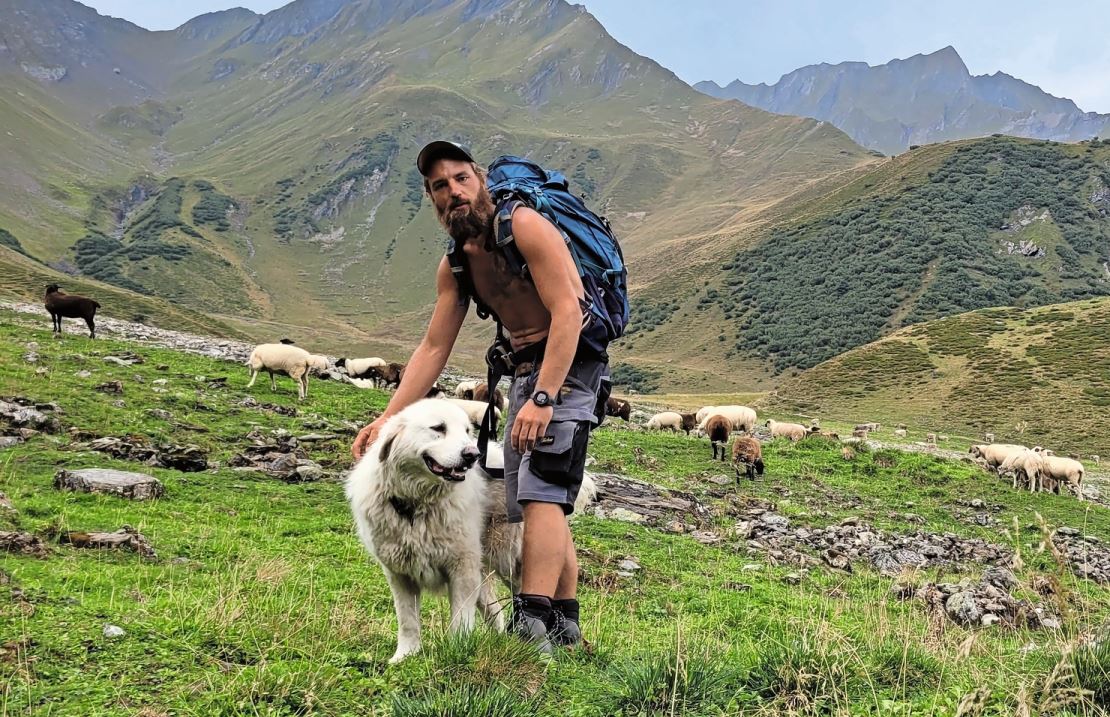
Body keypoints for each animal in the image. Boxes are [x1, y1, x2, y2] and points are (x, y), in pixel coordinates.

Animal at [346, 399, 599, 661]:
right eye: (438, 428)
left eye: (467, 431)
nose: (472, 455)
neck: (418, 505)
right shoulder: (400, 574)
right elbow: (407, 620)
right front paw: (405, 655)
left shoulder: (462, 569)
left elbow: (460, 619)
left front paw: (457, 651)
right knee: (495, 611)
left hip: (509, 557)